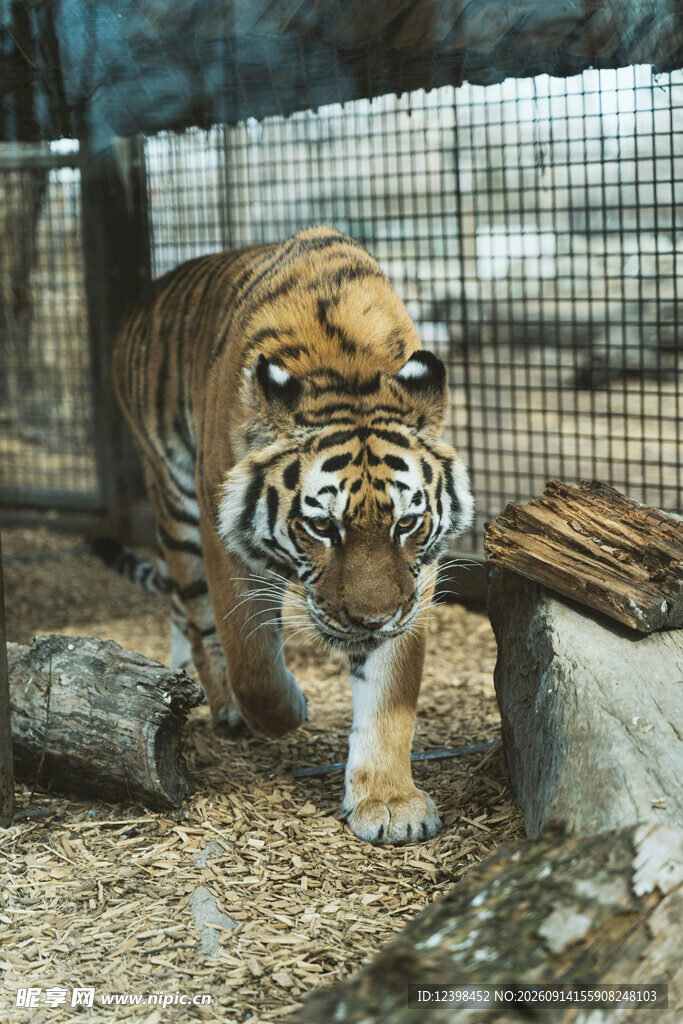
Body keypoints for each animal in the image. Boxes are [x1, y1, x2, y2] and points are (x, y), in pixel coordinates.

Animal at [112, 226, 474, 845]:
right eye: (323, 527)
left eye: (405, 523)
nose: (371, 620)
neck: (346, 361)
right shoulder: (222, 537)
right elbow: (251, 661)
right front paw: (290, 710)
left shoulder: (416, 578)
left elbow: (391, 691)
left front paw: (388, 801)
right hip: (175, 503)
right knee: (196, 615)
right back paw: (222, 705)